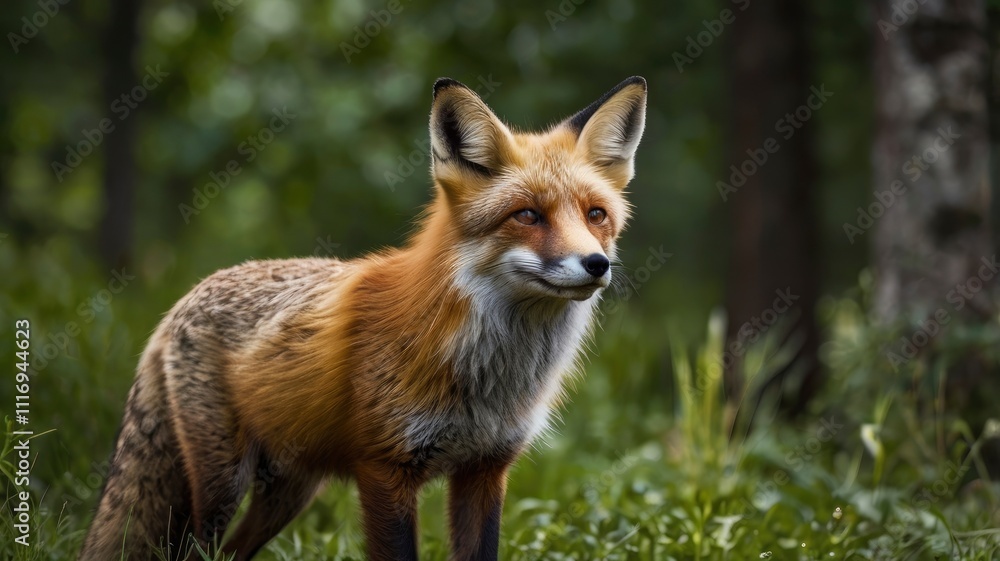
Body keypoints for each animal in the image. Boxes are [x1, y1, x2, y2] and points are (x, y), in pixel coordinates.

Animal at [78, 75, 647, 561]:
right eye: (528, 215)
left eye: (595, 215)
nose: (596, 264)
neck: (487, 379)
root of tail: (180, 300)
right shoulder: (385, 468)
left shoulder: (485, 469)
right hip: (222, 483)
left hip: (289, 492)